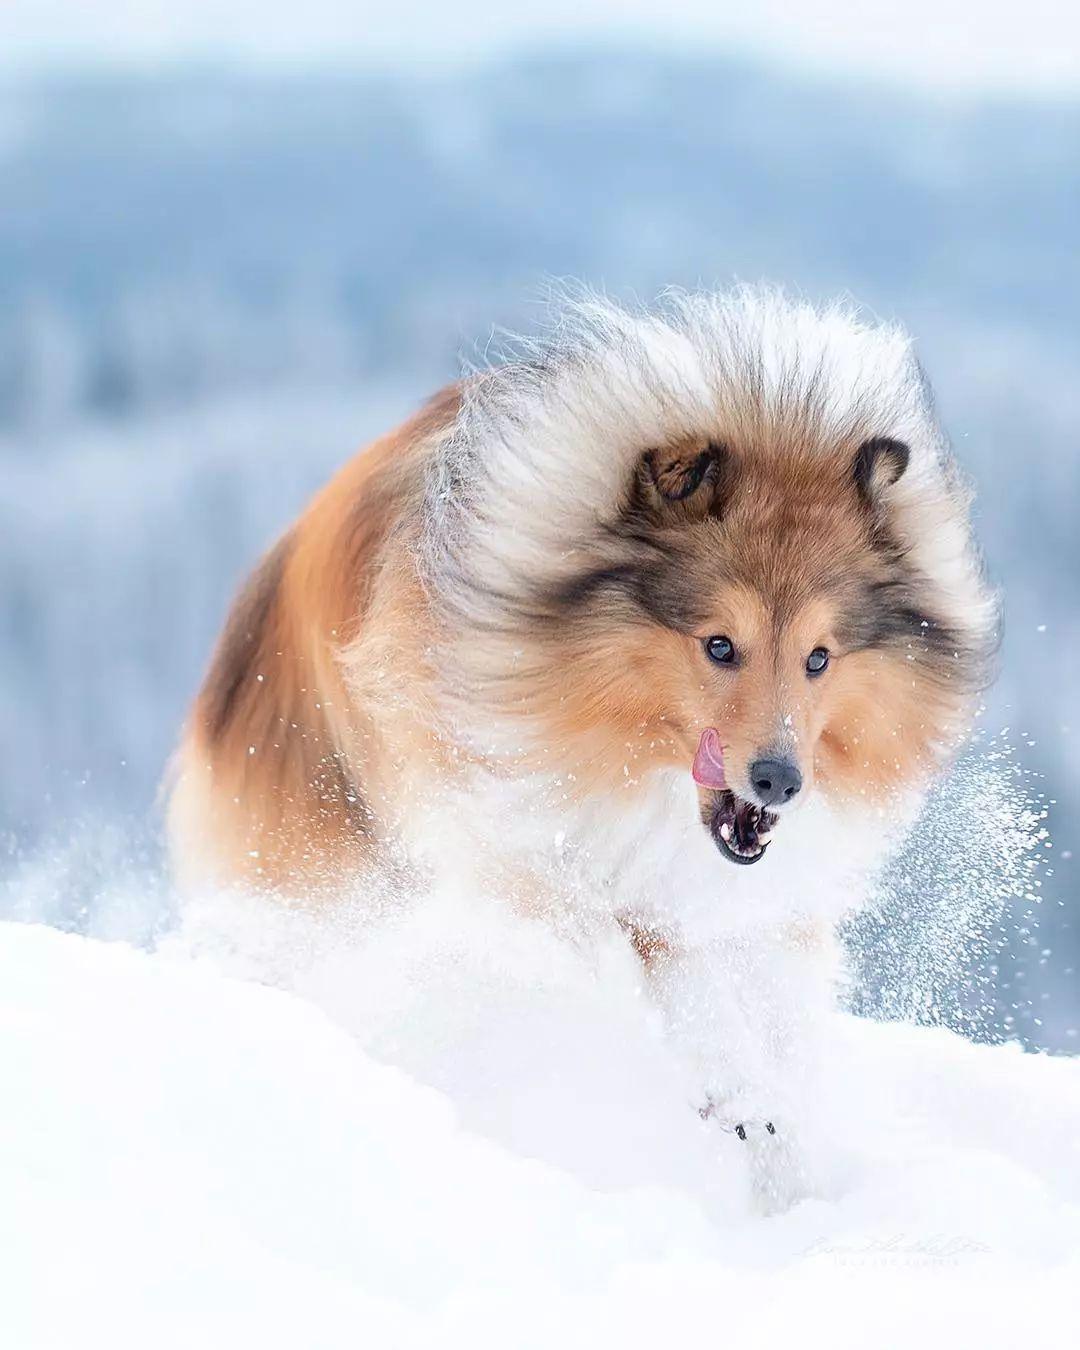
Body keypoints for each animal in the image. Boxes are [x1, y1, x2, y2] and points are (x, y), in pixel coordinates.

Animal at [166, 287, 993, 1171]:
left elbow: (781, 1009)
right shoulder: (561, 841)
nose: (778, 781)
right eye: (719, 644)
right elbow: (681, 971)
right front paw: (743, 1095)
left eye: (819, 657)